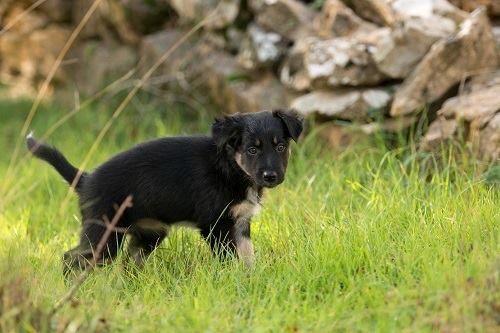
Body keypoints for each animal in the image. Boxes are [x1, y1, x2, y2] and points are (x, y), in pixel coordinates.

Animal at [28, 109, 304, 272]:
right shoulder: (215, 225)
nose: (271, 176)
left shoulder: (240, 223)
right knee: (71, 258)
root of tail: (85, 179)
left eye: (280, 147)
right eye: (252, 150)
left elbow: (248, 257)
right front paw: (232, 279)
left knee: (128, 264)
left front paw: (251, 280)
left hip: (148, 235)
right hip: (104, 234)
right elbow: (229, 258)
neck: (230, 167)